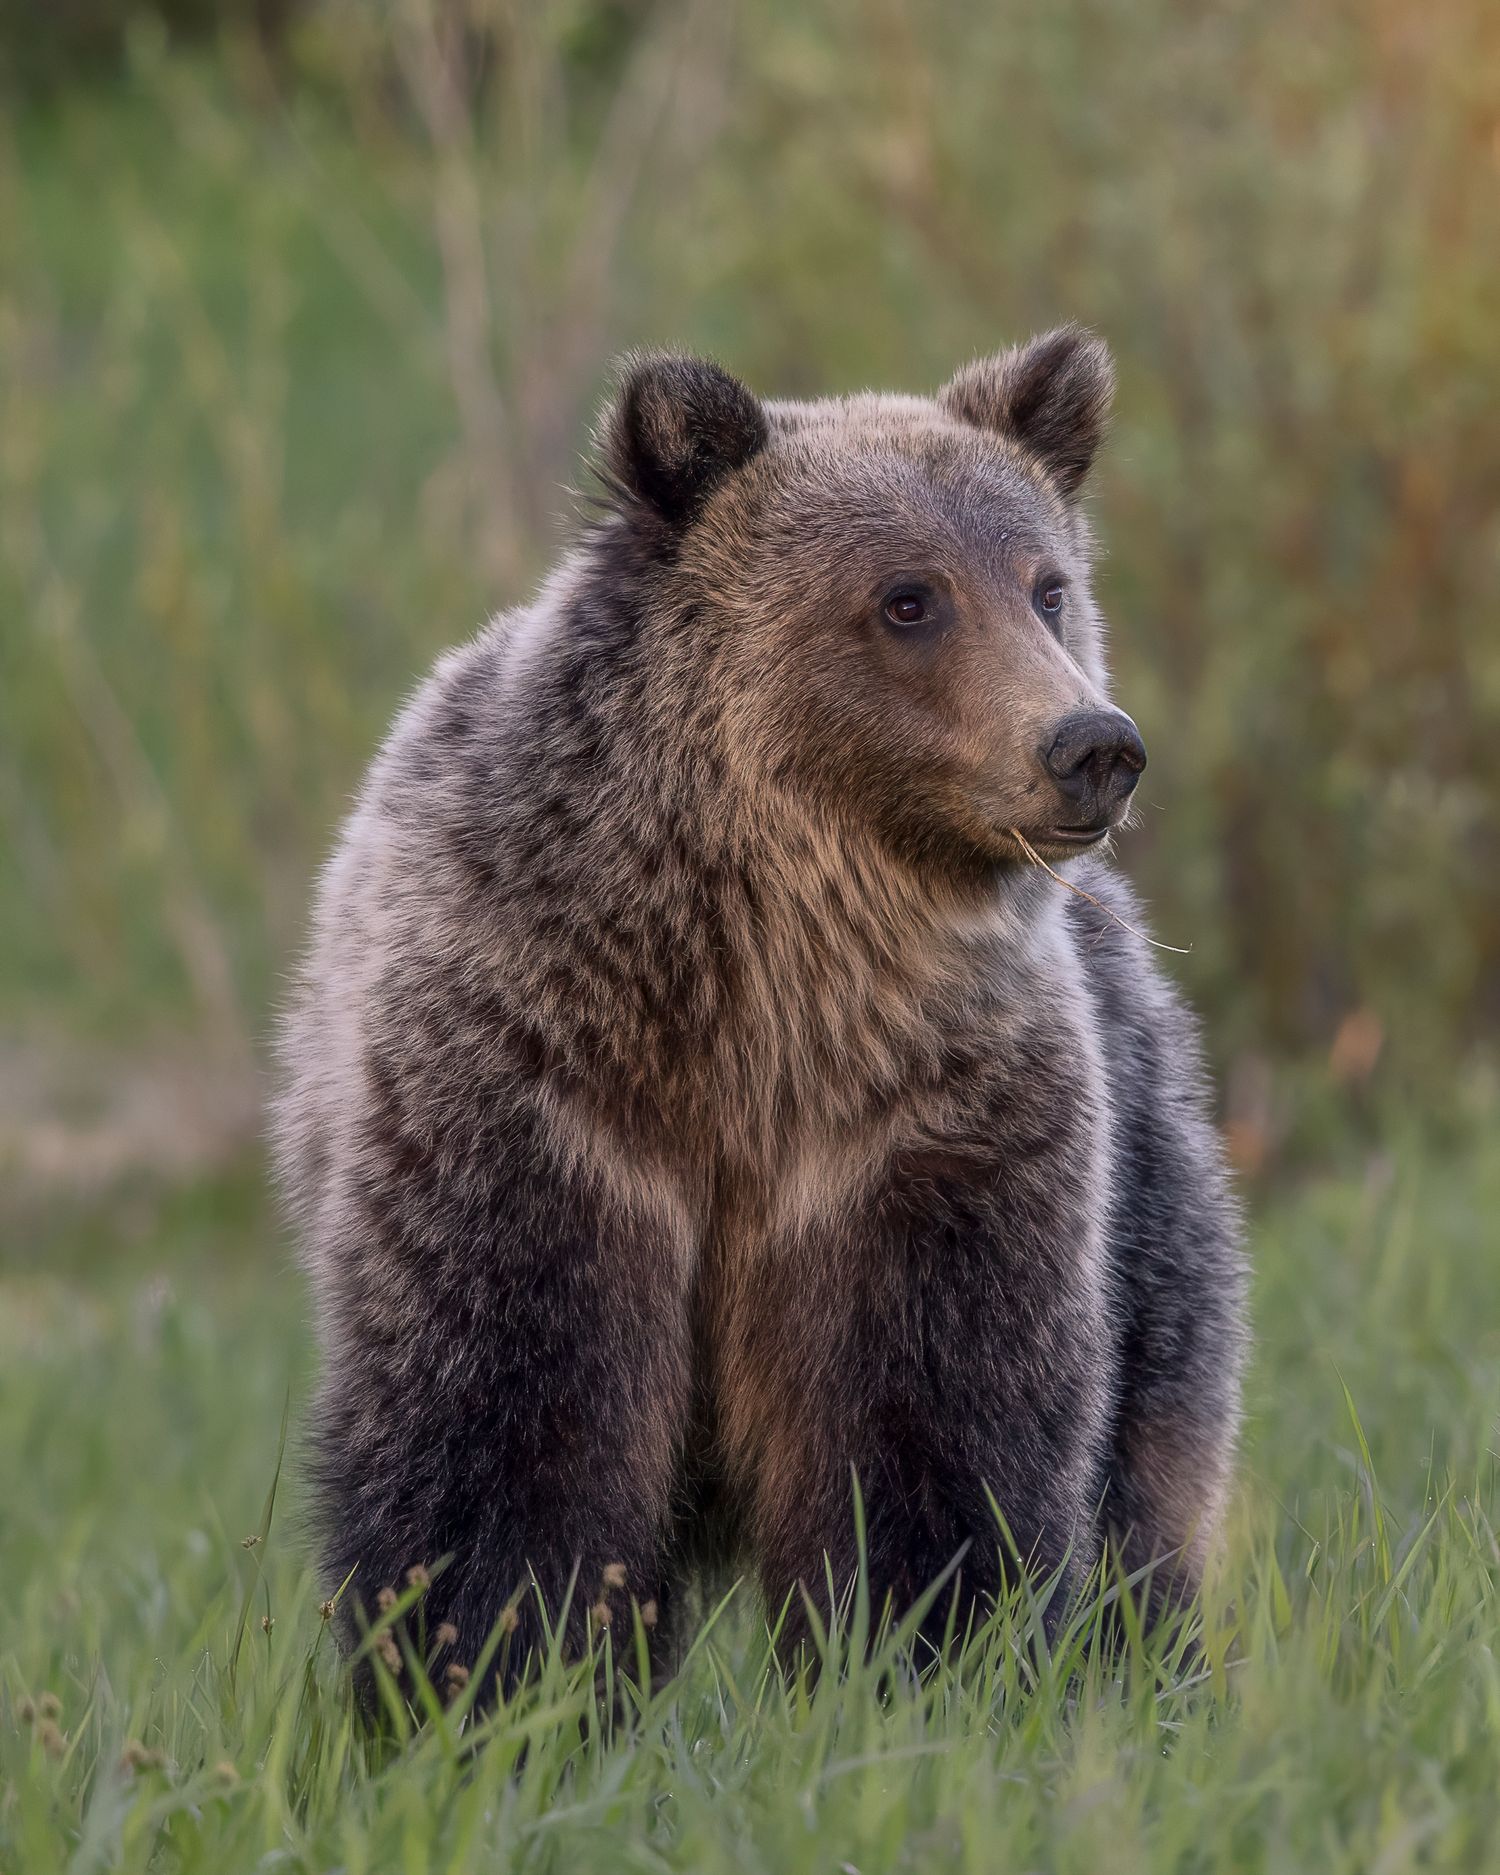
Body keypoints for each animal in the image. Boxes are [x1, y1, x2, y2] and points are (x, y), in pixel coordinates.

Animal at [273, 327, 1247, 1702]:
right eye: (910, 597)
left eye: (1047, 585)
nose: (1091, 744)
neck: (763, 973)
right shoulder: (543, 1091)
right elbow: (509, 1429)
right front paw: (495, 1688)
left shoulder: (918, 1126)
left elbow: (933, 1431)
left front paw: (919, 1667)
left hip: (1153, 1194)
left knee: (1148, 1491)